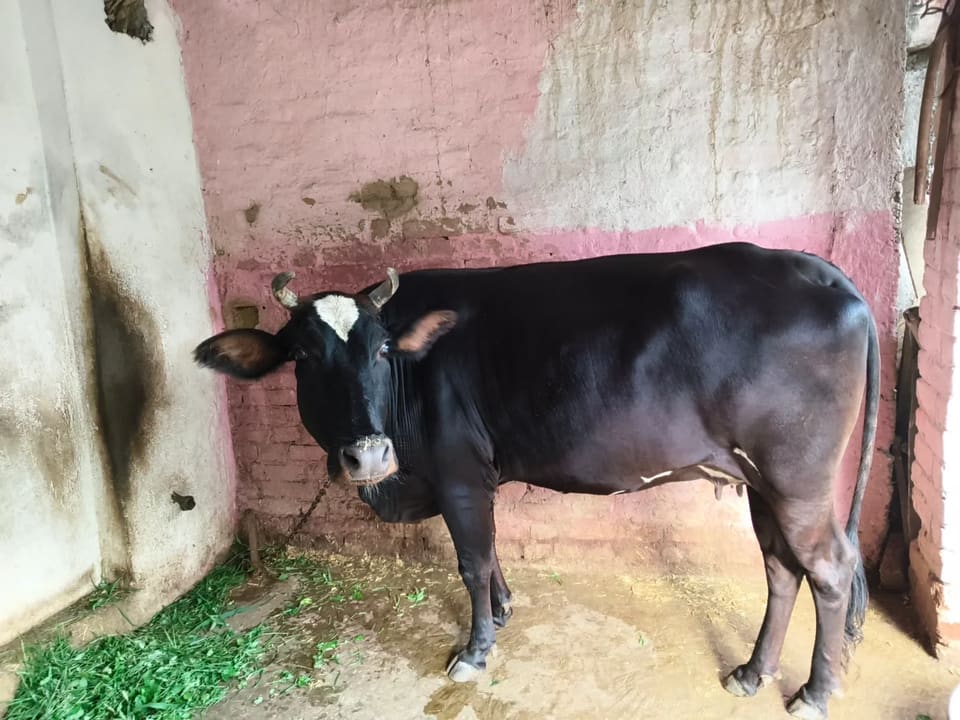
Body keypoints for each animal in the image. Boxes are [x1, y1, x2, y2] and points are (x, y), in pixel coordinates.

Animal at [195, 242, 879, 720]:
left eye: (383, 351)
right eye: (302, 356)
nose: (368, 454)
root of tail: (818, 271)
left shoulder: (459, 473)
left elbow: (470, 560)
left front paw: (474, 651)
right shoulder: (476, 475)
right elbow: (491, 550)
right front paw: (502, 611)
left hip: (798, 479)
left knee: (829, 569)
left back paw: (814, 692)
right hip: (762, 482)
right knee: (781, 568)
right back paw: (751, 672)